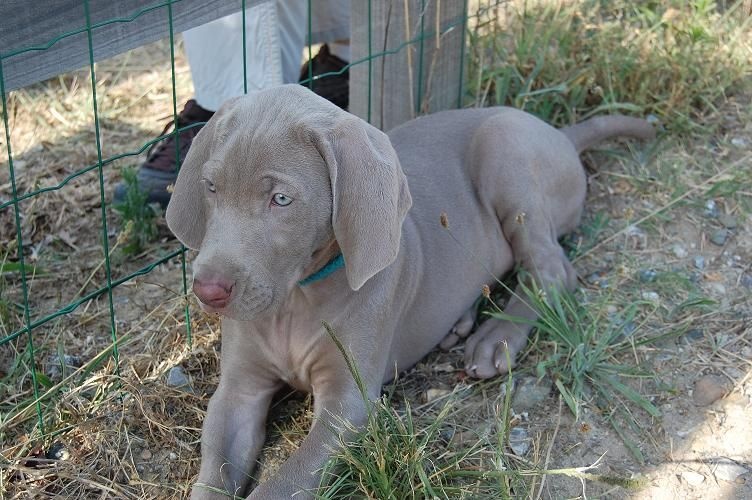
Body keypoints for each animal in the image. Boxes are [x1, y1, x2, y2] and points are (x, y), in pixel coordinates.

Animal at [165, 84, 654, 498]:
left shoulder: (348, 404)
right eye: (211, 188)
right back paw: (459, 322)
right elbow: (213, 474)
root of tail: (559, 134)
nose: (208, 290)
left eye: (281, 199)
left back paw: (495, 338)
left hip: (507, 150)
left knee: (551, 269)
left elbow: (283, 484)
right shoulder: (237, 392)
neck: (297, 298)